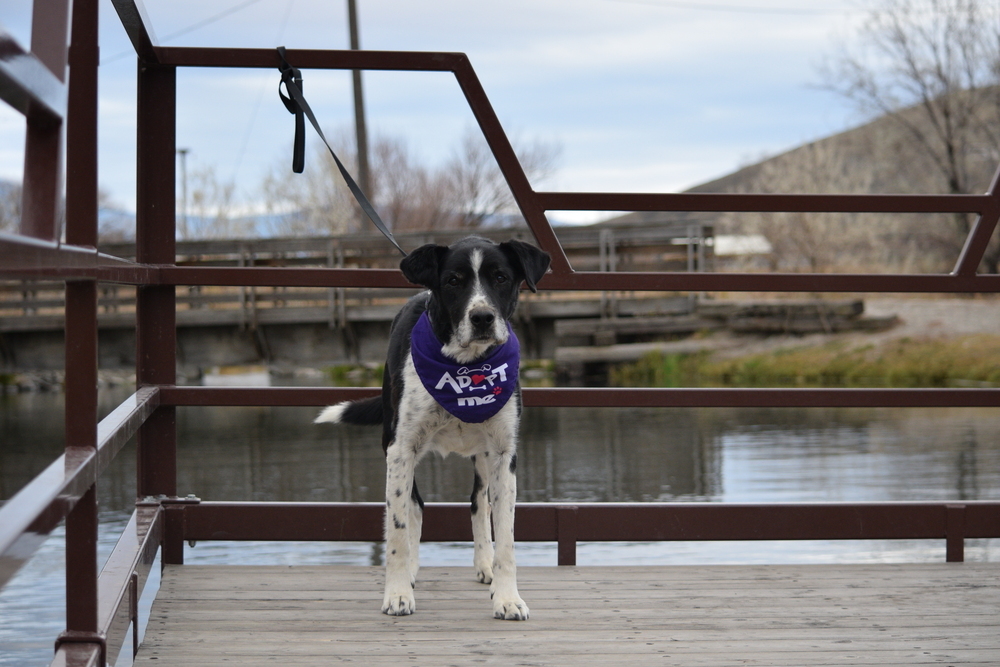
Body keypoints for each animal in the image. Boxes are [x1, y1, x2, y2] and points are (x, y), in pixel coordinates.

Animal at [316, 236, 552, 620]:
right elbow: (397, 529)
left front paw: (507, 598)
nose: (482, 317)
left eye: (501, 277)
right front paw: (398, 593)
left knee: (477, 502)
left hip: (483, 458)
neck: (467, 367)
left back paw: (484, 565)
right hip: (396, 446)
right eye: (454, 281)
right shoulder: (400, 450)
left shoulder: (504, 455)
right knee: (414, 506)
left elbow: (505, 536)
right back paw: (411, 571)